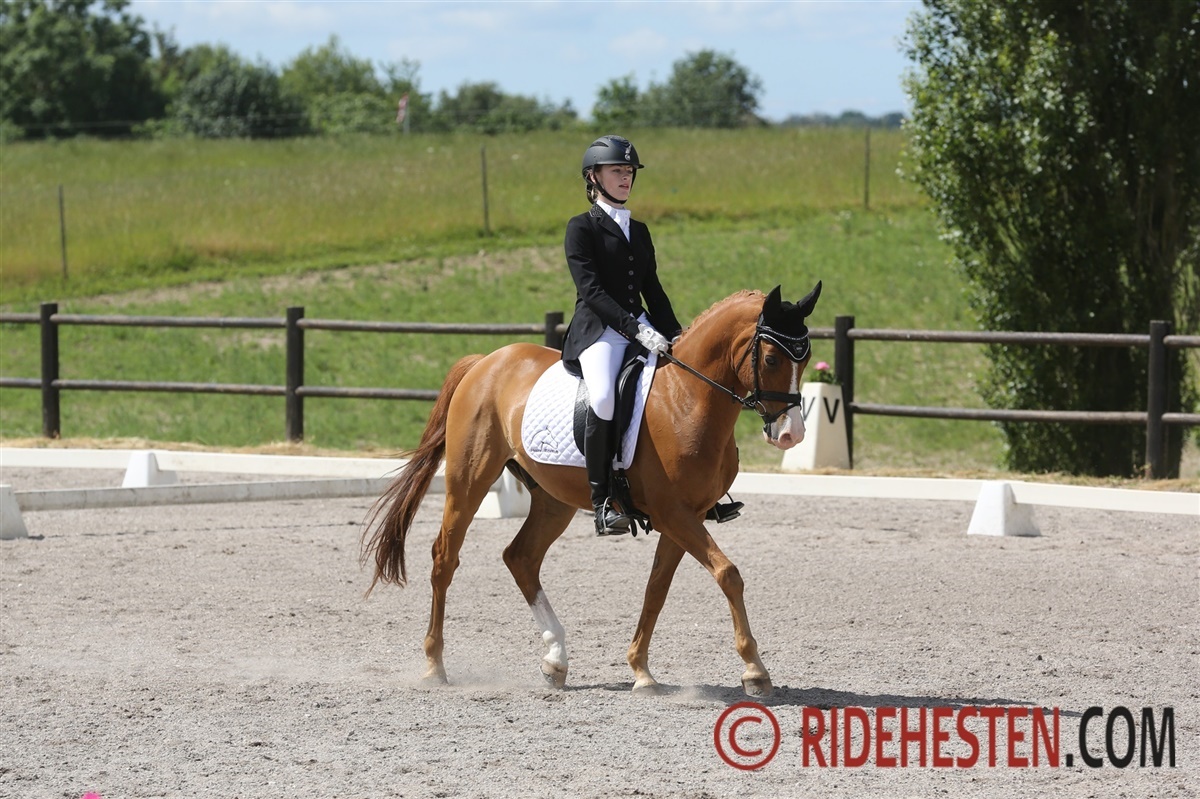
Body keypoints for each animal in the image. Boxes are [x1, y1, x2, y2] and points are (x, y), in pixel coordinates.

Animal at [361, 283, 822, 697]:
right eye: (770, 357)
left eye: (806, 360)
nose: (791, 435)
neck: (688, 398)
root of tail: (485, 361)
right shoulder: (673, 513)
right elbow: (728, 574)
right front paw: (754, 670)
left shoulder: (684, 516)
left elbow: (657, 590)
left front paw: (641, 670)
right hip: (469, 480)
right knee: (445, 558)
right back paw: (434, 665)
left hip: (553, 499)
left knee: (521, 557)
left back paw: (555, 661)